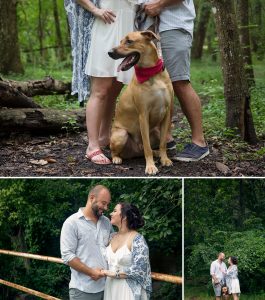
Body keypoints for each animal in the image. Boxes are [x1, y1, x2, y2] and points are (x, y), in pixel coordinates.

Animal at [107, 30, 173, 175]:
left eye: (129, 41)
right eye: (120, 41)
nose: (109, 52)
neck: (152, 74)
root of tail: (136, 151)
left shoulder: (167, 113)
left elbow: (163, 144)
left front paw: (165, 159)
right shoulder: (143, 115)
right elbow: (147, 147)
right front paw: (150, 166)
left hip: (155, 131)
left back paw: (156, 153)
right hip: (121, 134)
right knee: (115, 151)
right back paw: (116, 159)